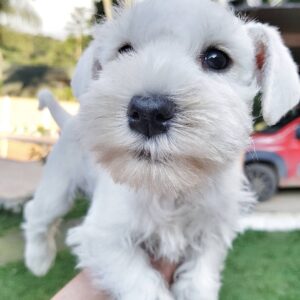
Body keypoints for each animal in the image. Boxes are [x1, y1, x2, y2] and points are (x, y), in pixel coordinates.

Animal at [25, 0, 300, 300]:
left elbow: (200, 278)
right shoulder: (105, 236)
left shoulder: (211, 231)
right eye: (124, 50)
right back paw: (38, 260)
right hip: (59, 186)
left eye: (217, 58)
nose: (147, 112)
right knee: (36, 213)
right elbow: (141, 283)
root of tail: (70, 121)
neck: (170, 187)